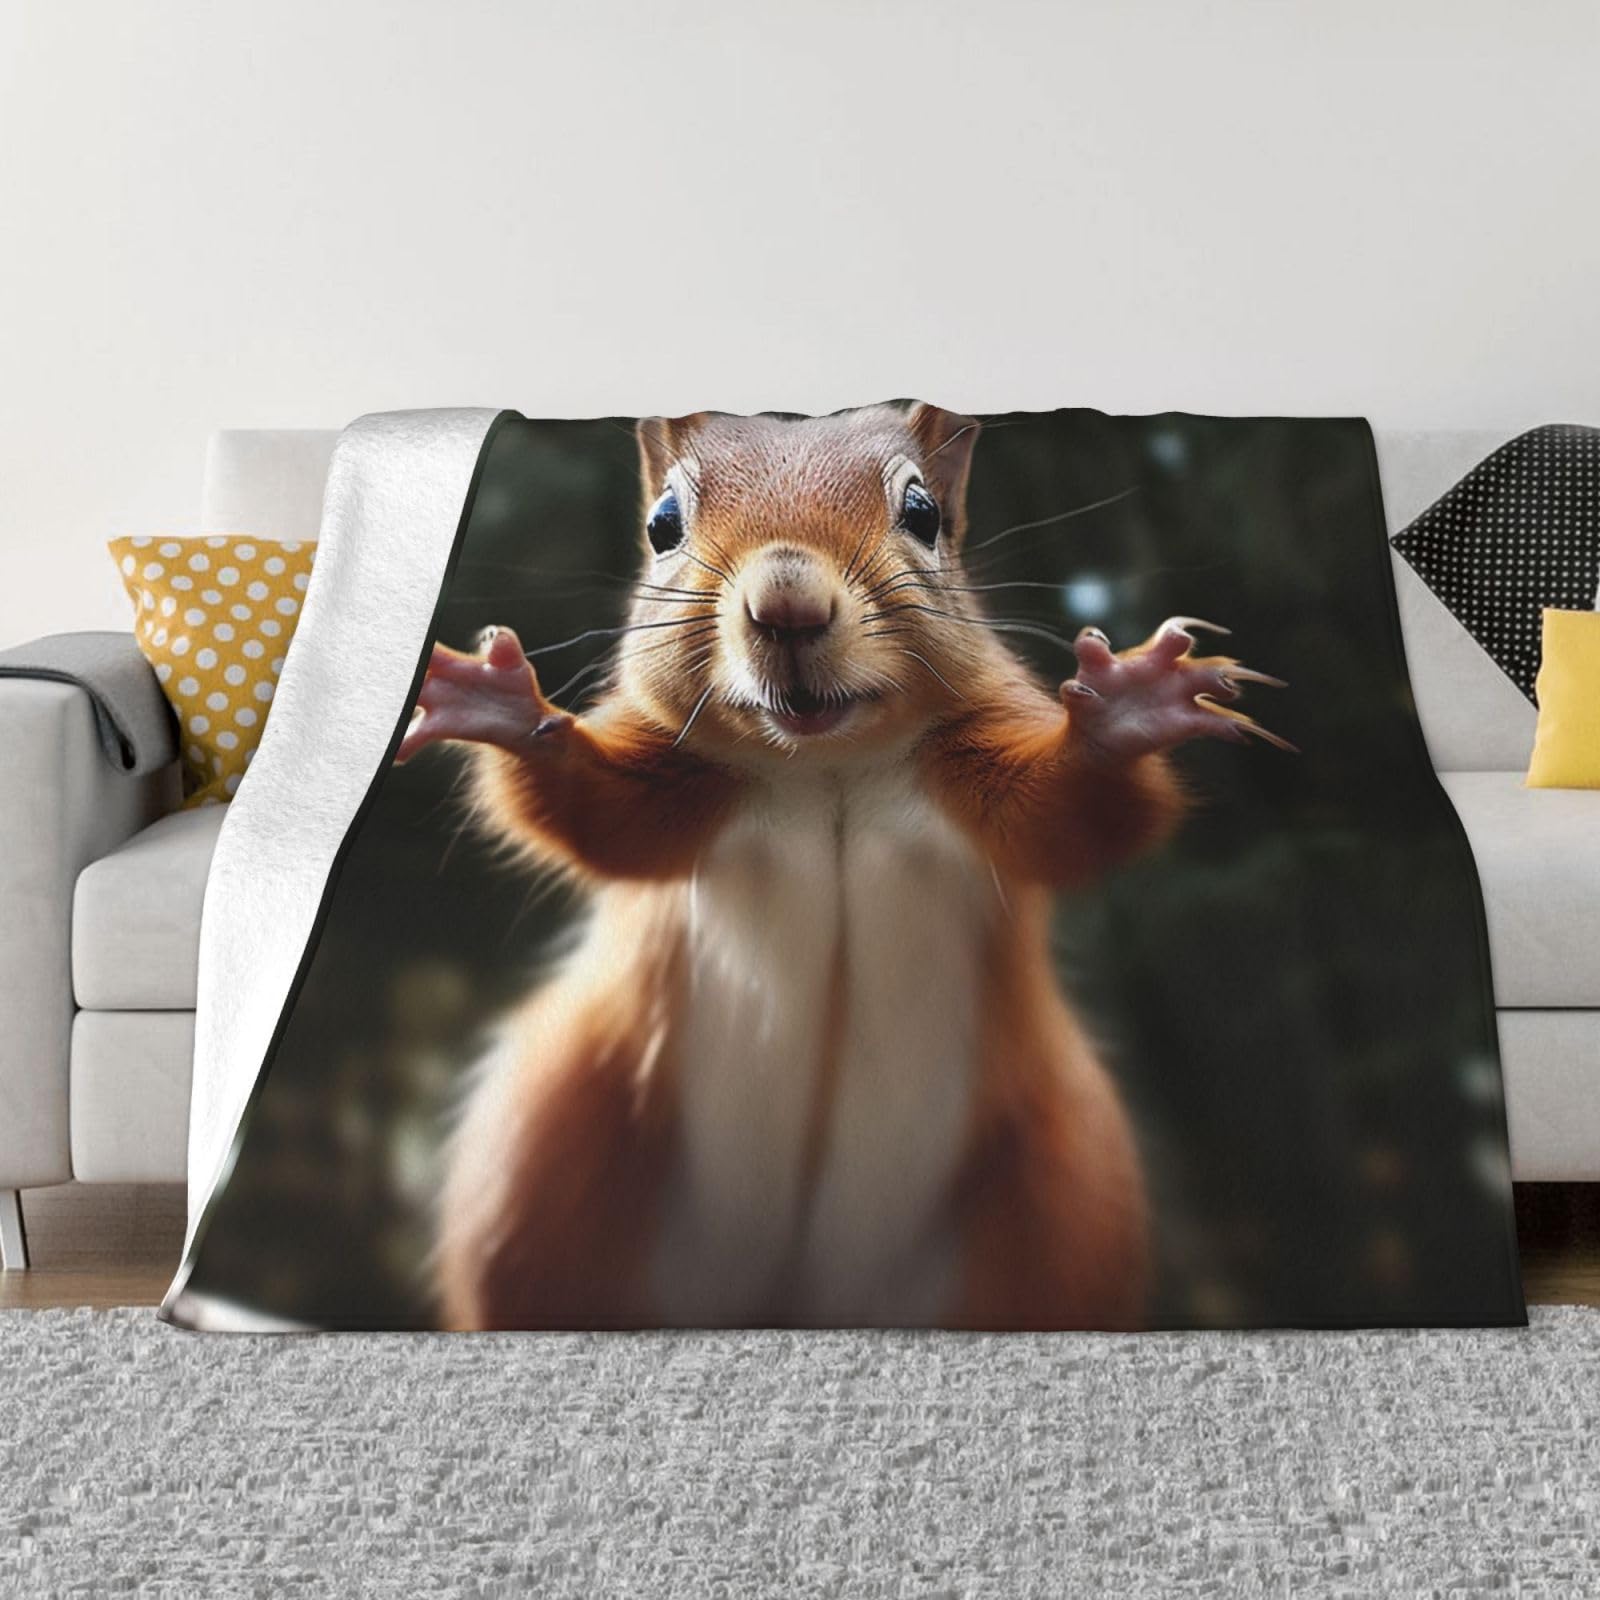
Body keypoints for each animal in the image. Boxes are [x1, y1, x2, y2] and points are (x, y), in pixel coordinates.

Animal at [396, 403, 1289, 1331]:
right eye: (662, 525)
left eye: (923, 514)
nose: (787, 601)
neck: (823, 766)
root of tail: (795, 1295)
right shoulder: (676, 783)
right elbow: (597, 819)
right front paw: (503, 706)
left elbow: (1074, 822)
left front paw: (1127, 711)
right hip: (547, 1155)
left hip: (1064, 1200)